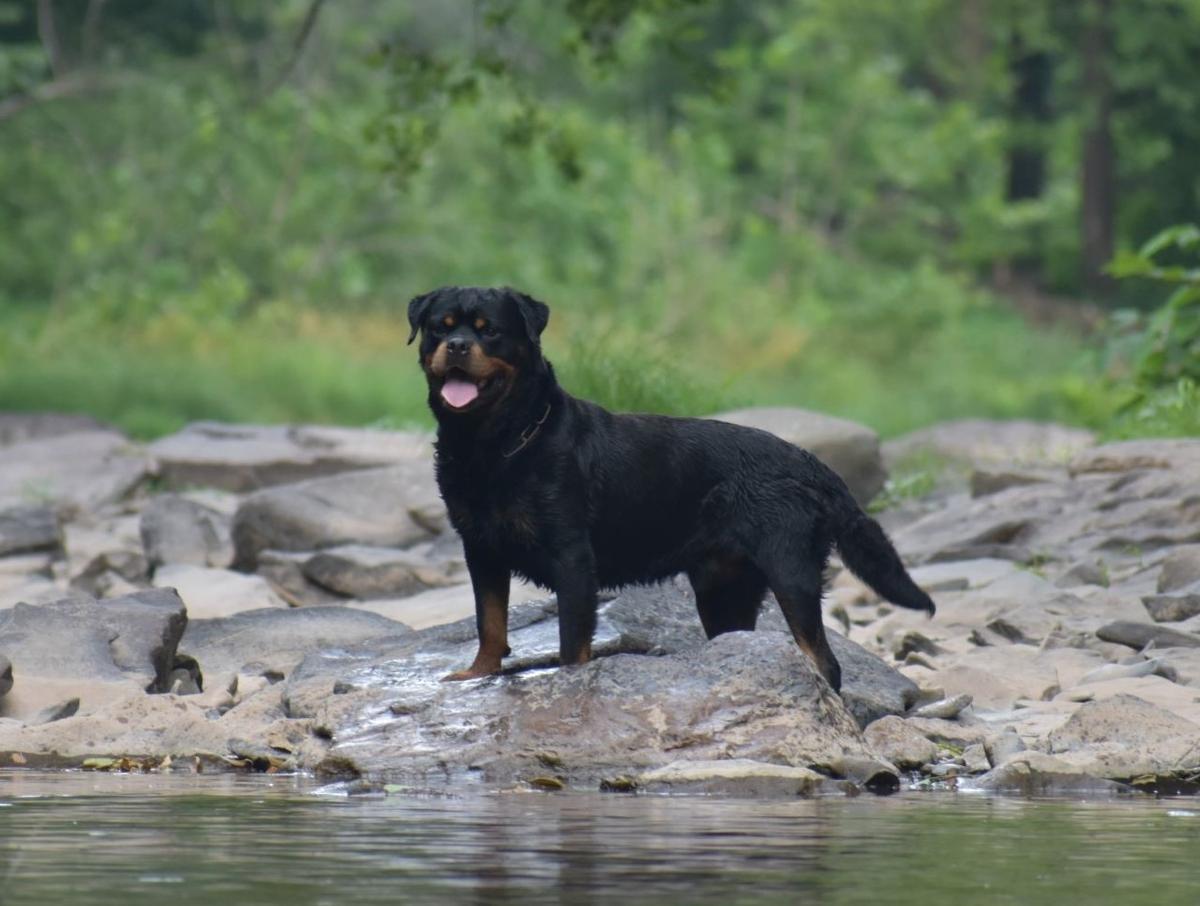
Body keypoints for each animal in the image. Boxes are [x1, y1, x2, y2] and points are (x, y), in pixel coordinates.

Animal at [412, 286, 936, 691]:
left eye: (489, 331)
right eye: (441, 326)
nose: (456, 346)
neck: (495, 445)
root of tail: (813, 465)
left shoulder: (572, 558)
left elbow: (570, 640)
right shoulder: (480, 549)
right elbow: (489, 620)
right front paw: (478, 673)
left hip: (791, 571)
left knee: (823, 658)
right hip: (723, 590)